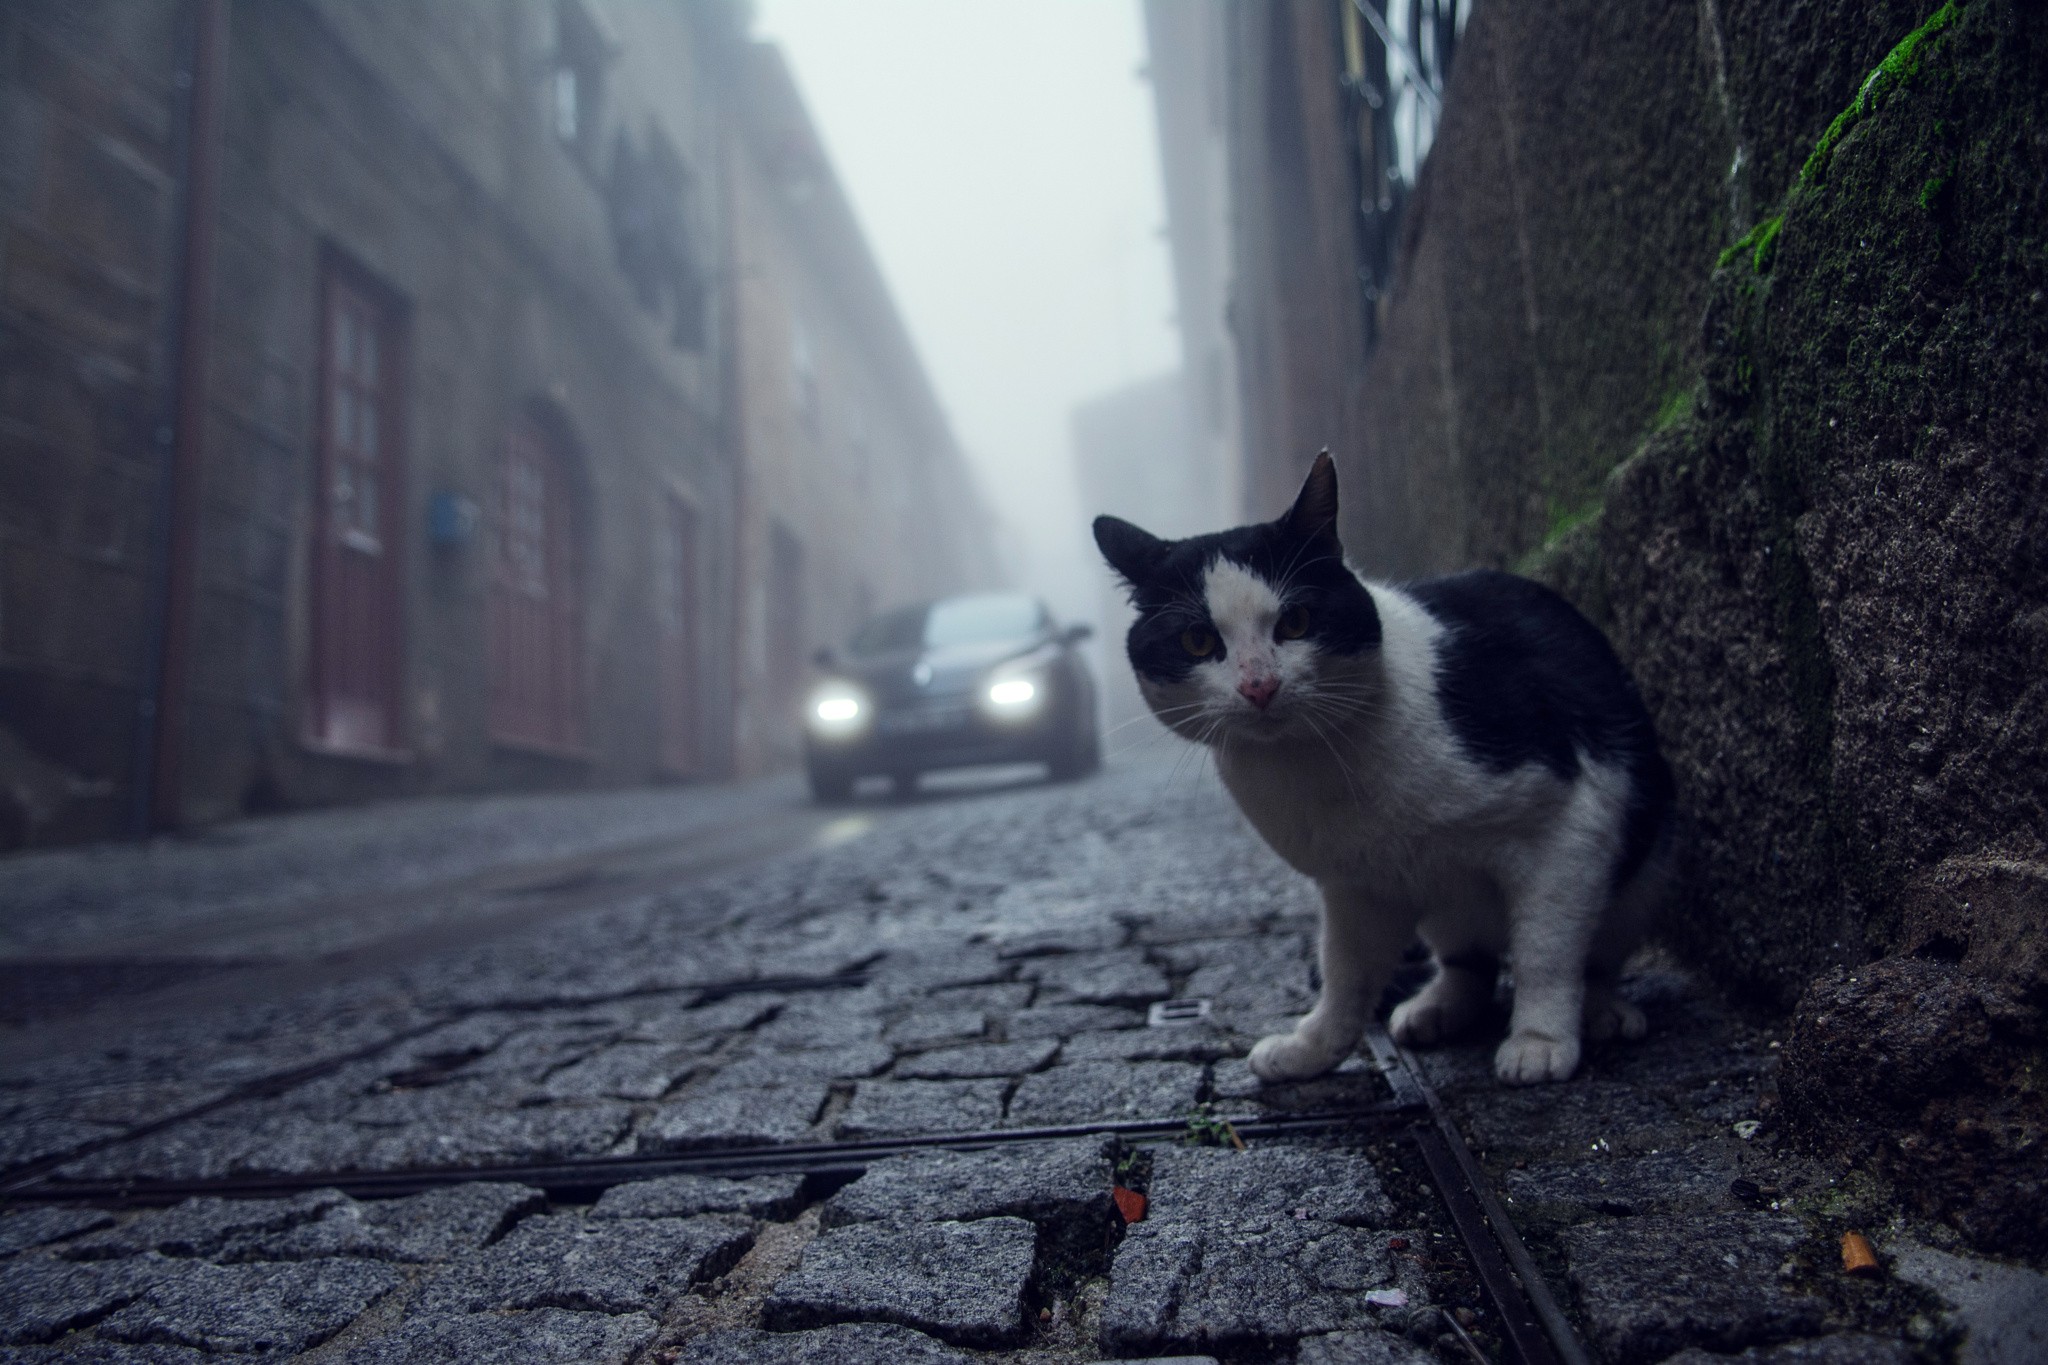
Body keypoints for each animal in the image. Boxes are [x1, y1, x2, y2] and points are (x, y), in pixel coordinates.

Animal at [1097, 454, 1671, 1080]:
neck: (1315, 763)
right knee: (1469, 959)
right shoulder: (1357, 884)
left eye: (1295, 623)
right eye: (1198, 640)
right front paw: (1312, 1048)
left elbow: (1546, 947)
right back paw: (1435, 1008)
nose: (1259, 686)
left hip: (1641, 868)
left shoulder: (1570, 821)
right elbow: (1346, 971)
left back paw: (1601, 1011)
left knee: (1590, 954)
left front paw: (1539, 1041)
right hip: (1445, 900)